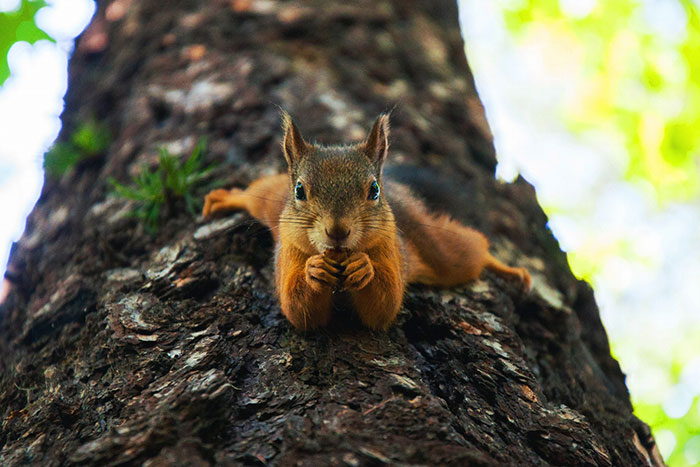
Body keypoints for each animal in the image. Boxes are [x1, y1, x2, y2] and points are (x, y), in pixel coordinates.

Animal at [202, 112, 532, 332]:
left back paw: (509, 270)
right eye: (299, 190)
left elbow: (384, 306)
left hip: (439, 252)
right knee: (254, 194)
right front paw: (314, 270)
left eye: (373, 190)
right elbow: (298, 310)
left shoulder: (389, 251)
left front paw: (364, 268)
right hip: (269, 201)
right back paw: (225, 198)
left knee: (470, 251)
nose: (337, 231)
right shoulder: (289, 254)